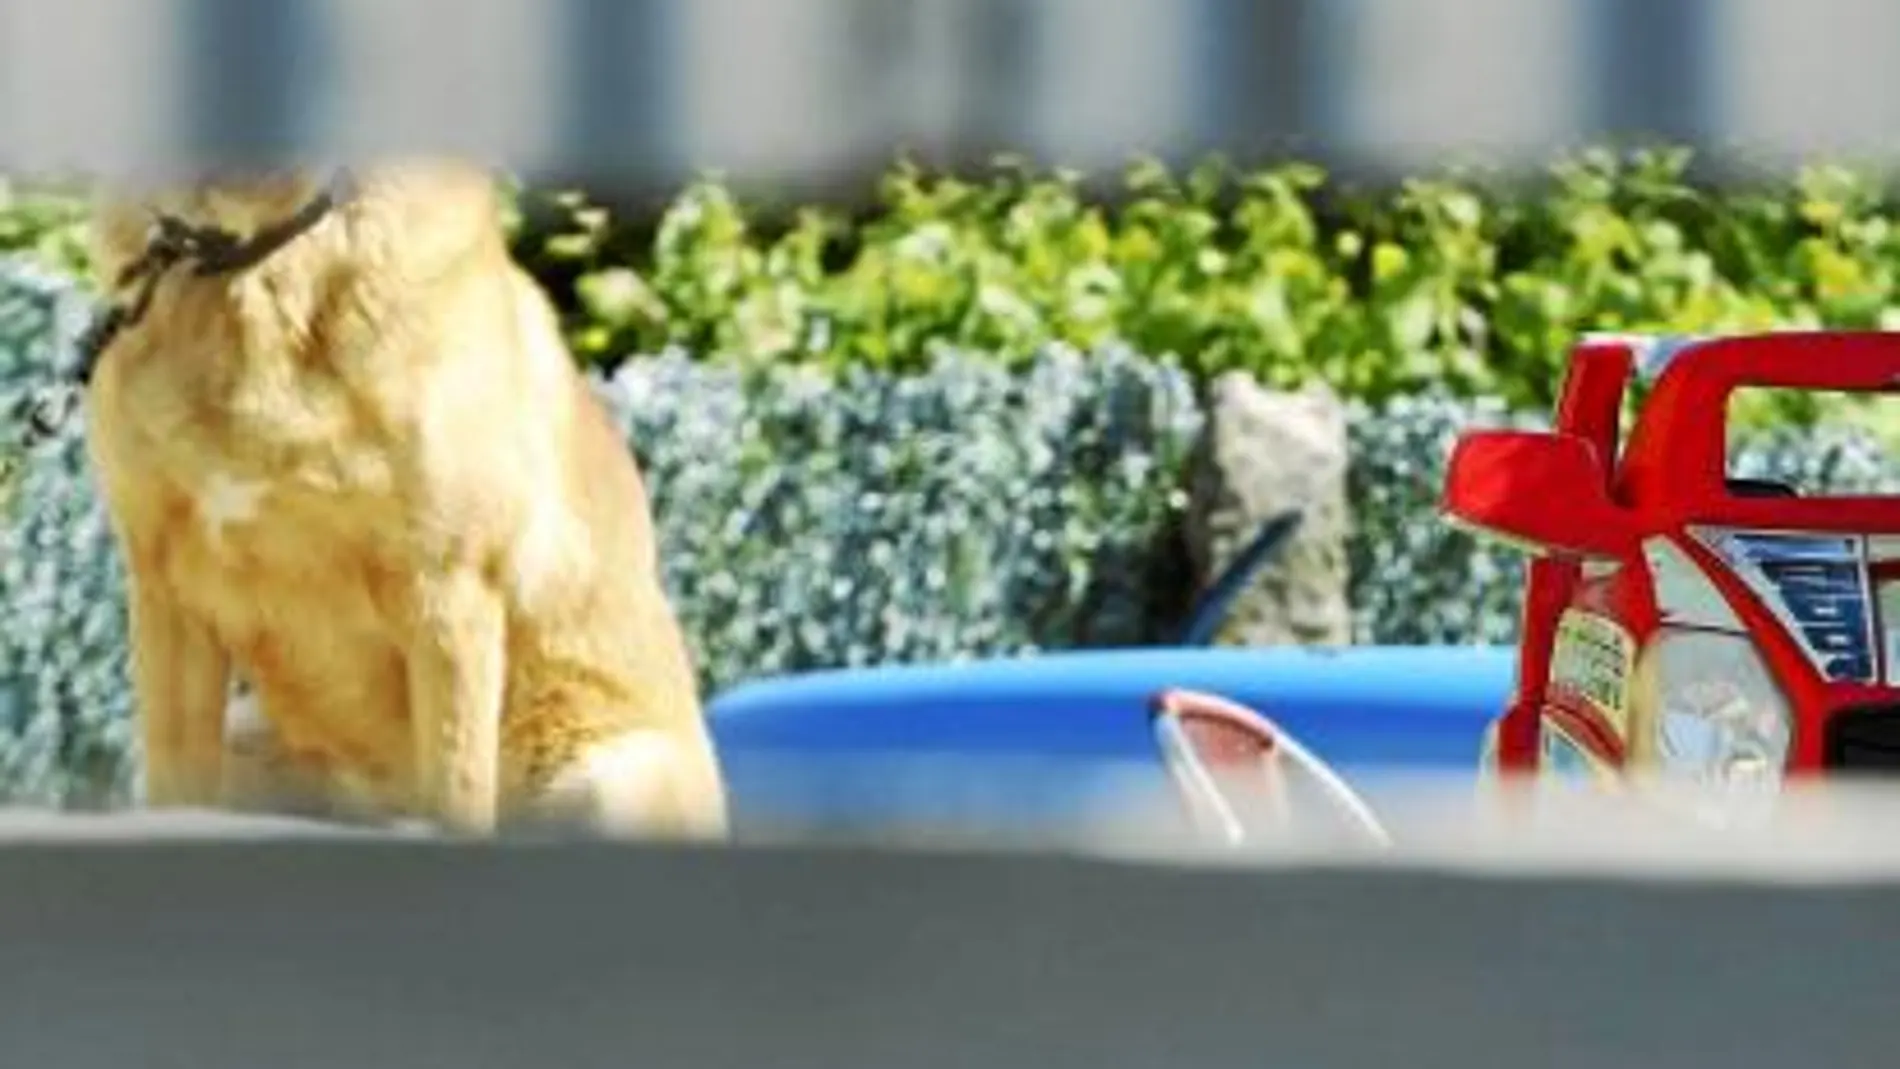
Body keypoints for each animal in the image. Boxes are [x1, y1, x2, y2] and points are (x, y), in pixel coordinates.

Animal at [79, 163, 725, 839]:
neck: (258, 250)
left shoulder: (447, 590)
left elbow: (457, 787)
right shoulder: (166, 587)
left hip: (613, 779)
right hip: (249, 738)